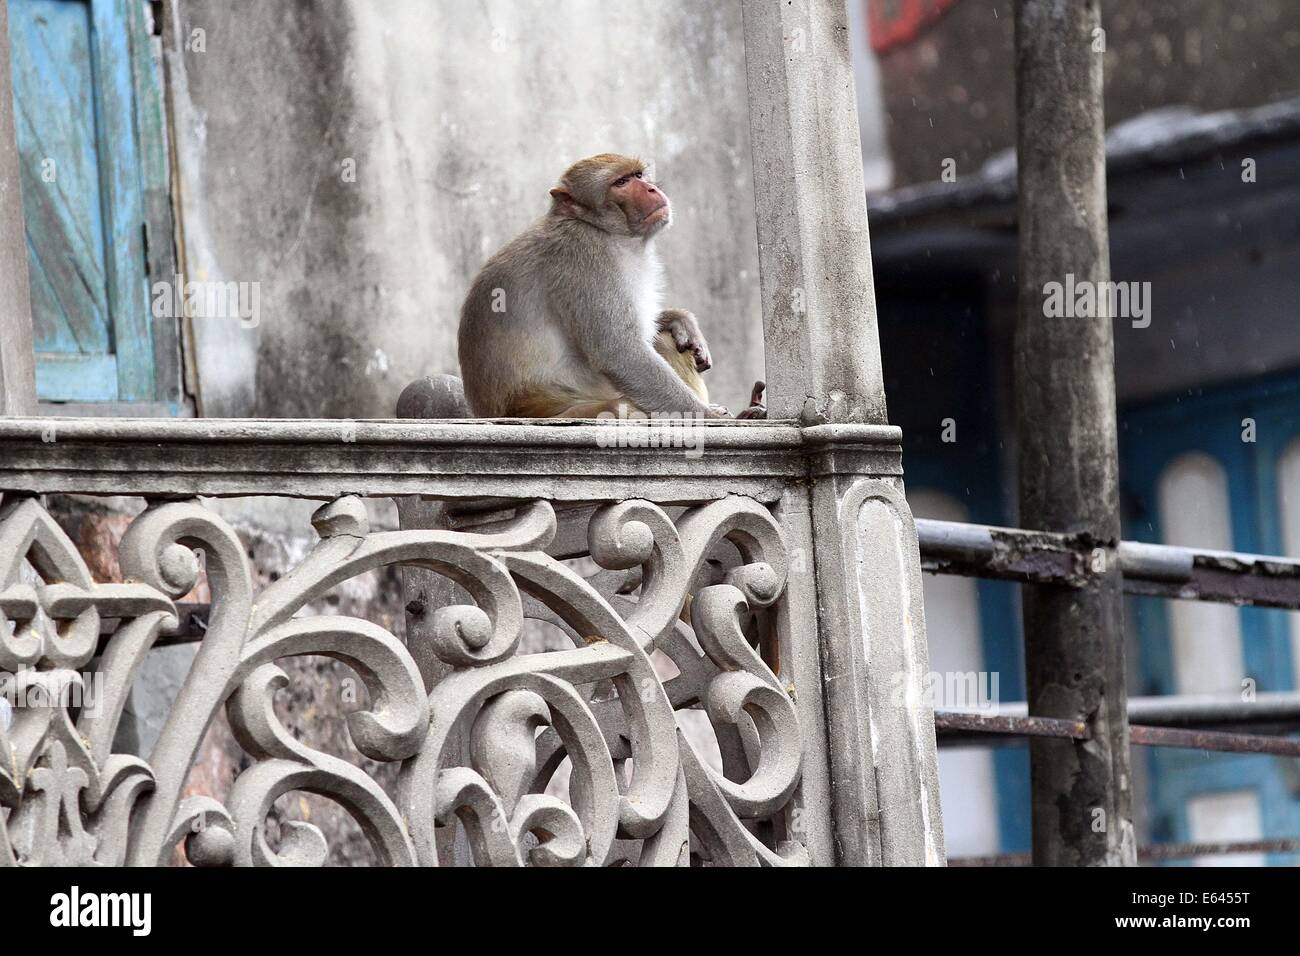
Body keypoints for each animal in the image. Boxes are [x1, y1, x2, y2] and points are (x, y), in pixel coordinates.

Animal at [457, 153, 765, 420]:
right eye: (621, 183)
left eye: (637, 175)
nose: (651, 188)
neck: (604, 231)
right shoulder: (583, 252)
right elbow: (618, 351)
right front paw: (707, 415)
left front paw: (681, 320)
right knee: (620, 404)